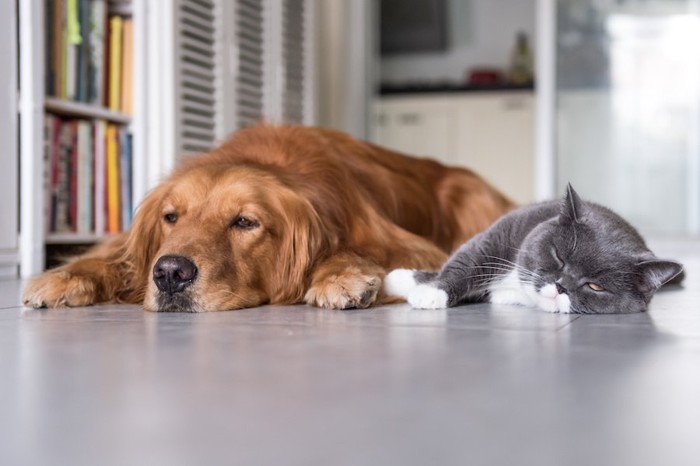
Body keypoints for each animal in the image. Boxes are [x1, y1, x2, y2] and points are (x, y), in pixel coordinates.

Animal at [23, 125, 516, 312]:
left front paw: (341, 278)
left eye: (245, 222)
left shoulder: (409, 244)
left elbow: (353, 250)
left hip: (470, 196)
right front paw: (66, 276)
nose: (170, 274)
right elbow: (115, 257)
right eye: (170, 217)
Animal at [382, 185, 684, 314]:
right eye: (559, 256)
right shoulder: (497, 237)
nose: (561, 286)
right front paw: (413, 284)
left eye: (596, 286)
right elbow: (464, 263)